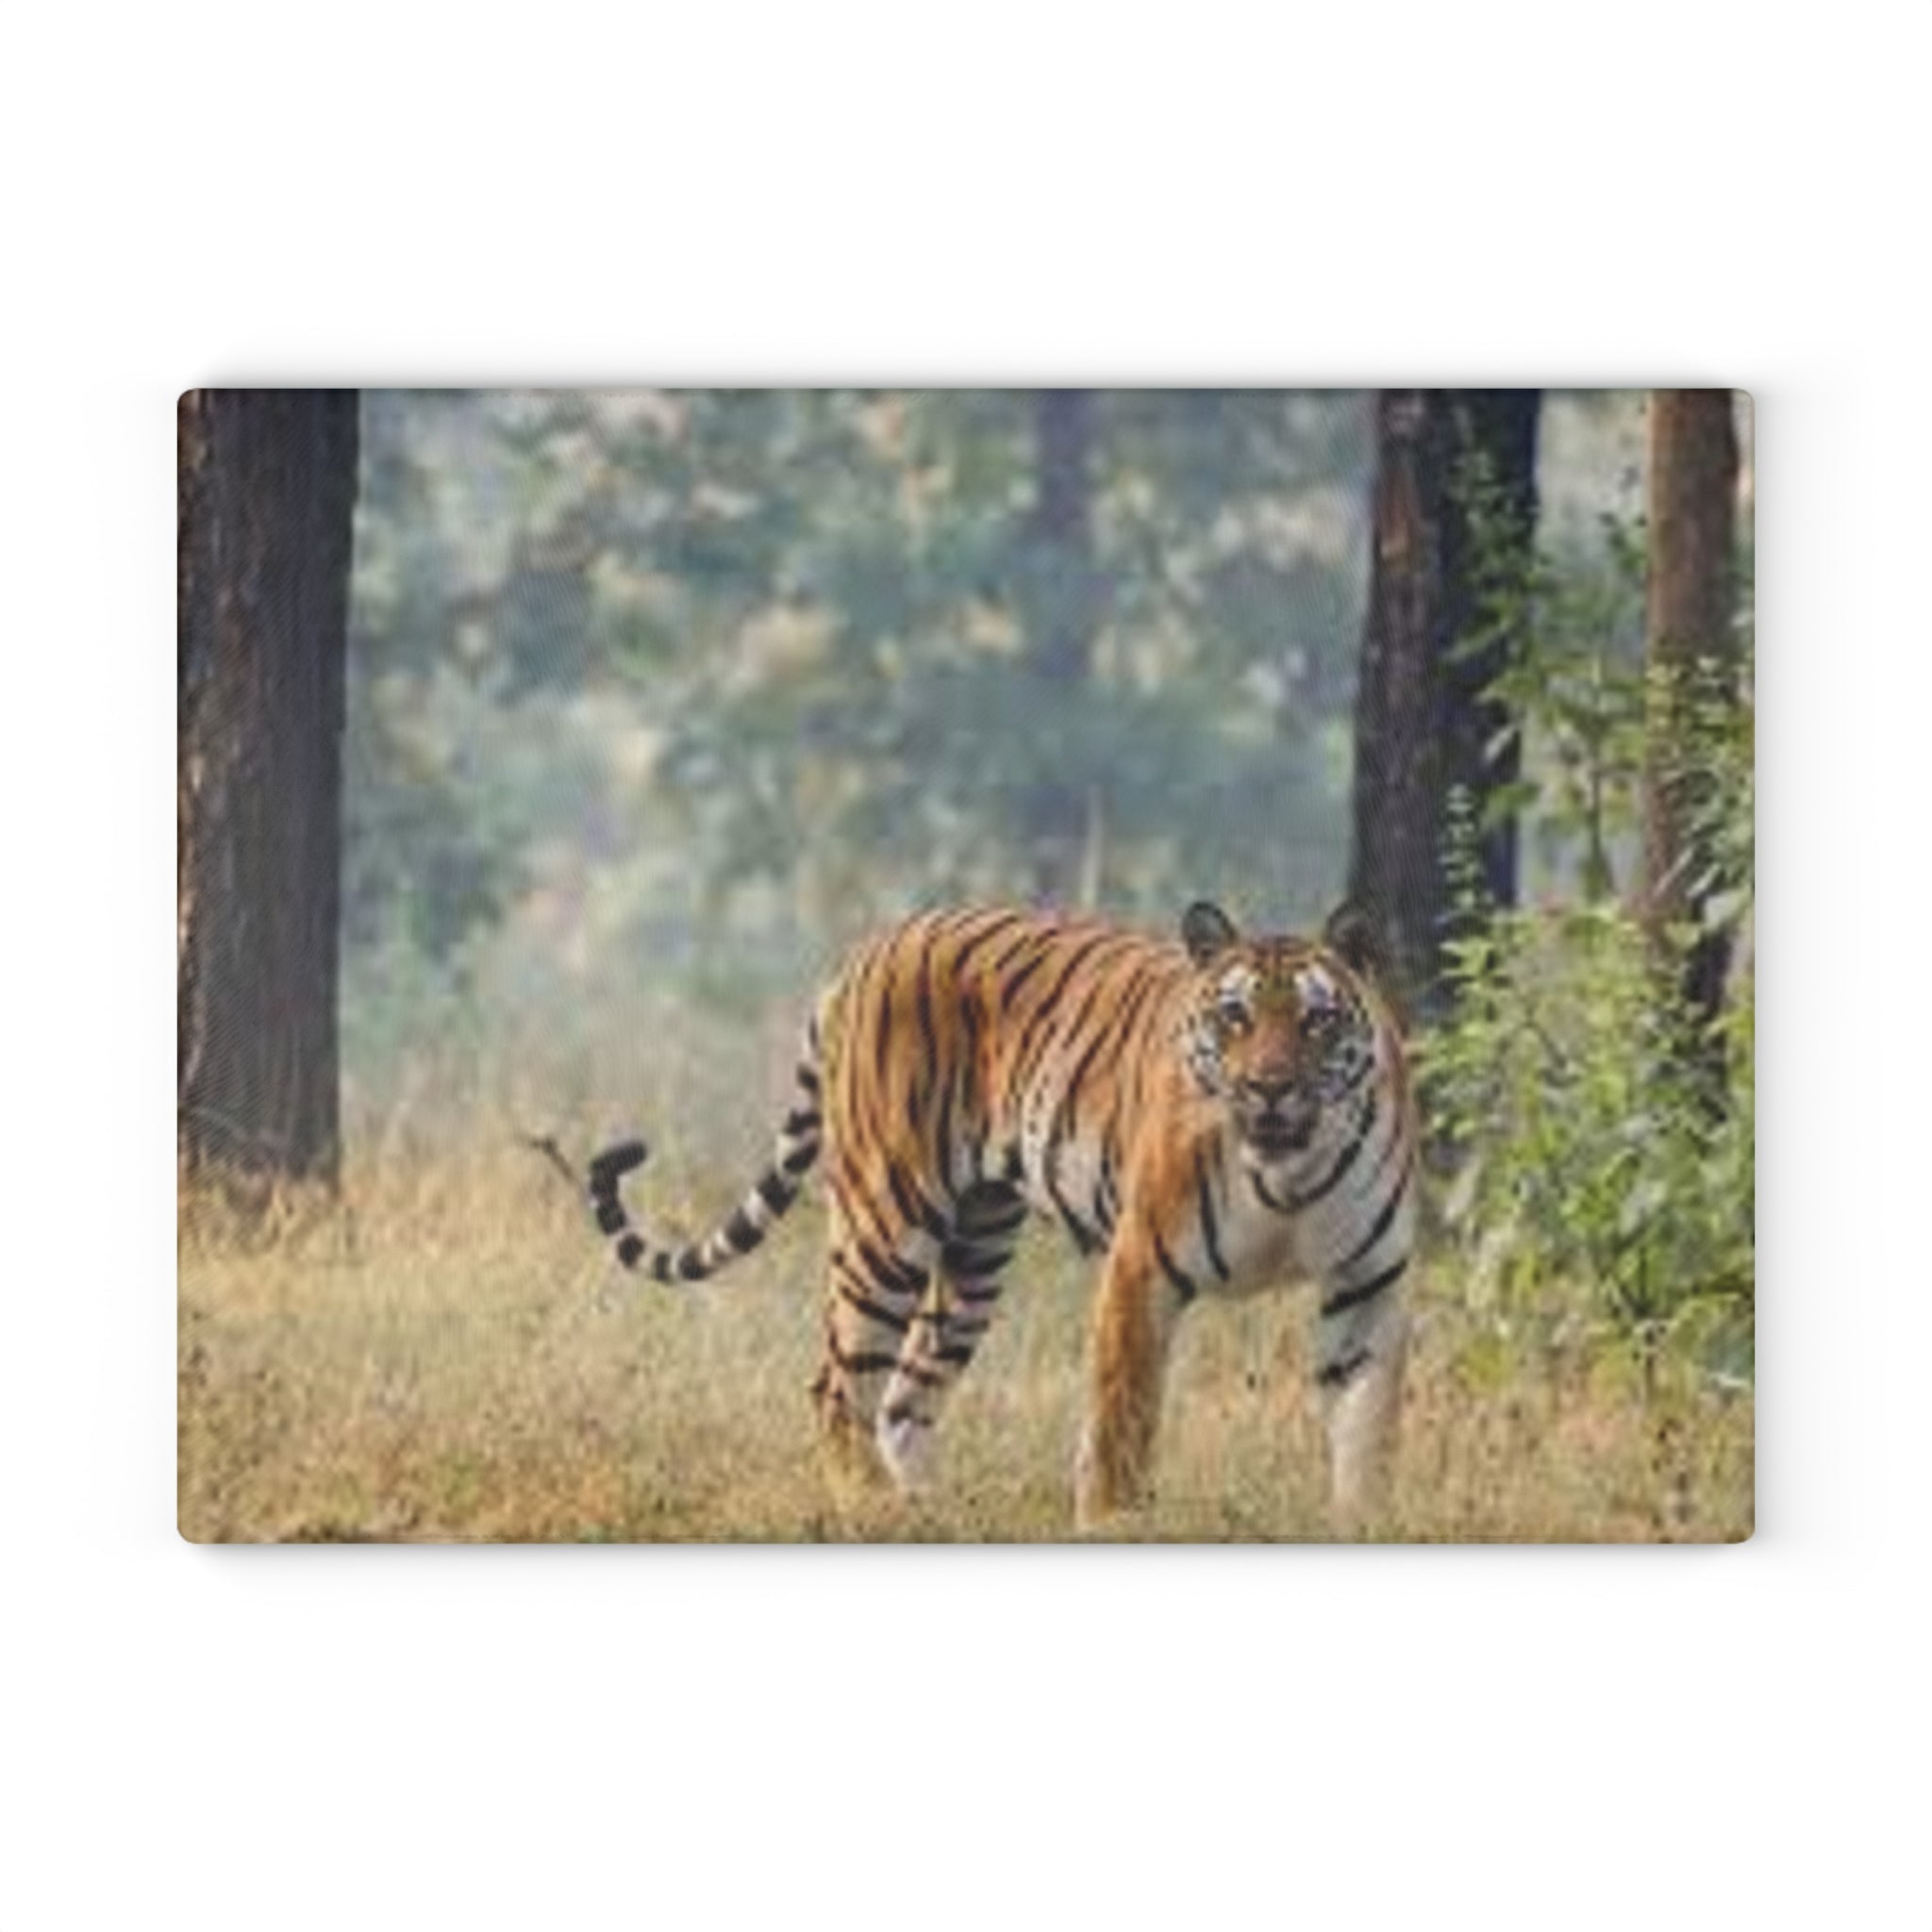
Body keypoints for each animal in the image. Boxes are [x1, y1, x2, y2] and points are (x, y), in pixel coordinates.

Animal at [586, 899, 1419, 1531]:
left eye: (1315, 1022)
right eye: (1235, 1017)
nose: (1269, 1088)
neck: (1287, 1174)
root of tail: (872, 945)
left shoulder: (1367, 1283)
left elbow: (1366, 1427)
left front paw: (1363, 1525)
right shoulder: (1142, 1267)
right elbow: (1121, 1420)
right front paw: (1114, 1525)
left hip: (976, 1250)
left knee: (904, 1396)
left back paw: (930, 1511)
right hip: (886, 1219)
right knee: (838, 1384)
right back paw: (875, 1508)